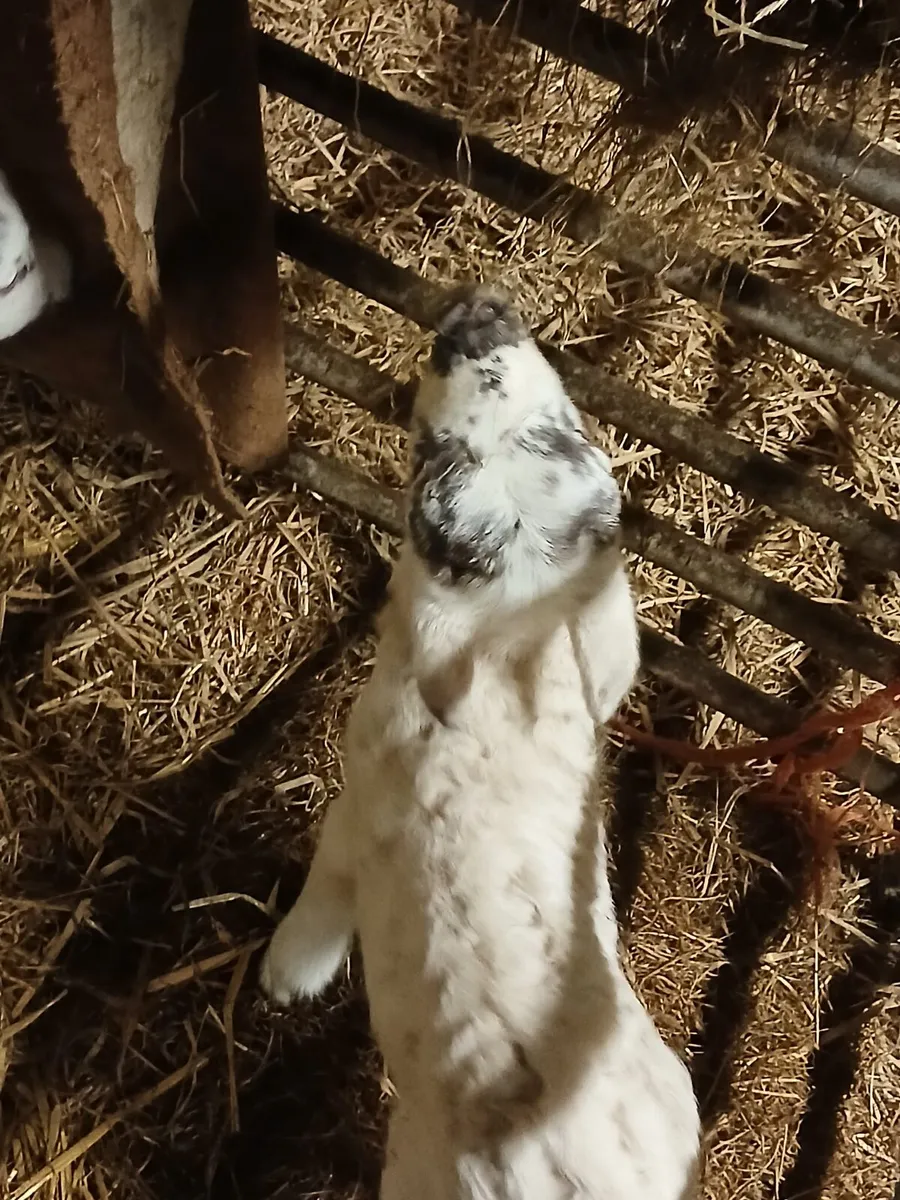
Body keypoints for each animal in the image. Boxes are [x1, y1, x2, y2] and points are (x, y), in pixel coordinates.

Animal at [260, 285, 701, 1200]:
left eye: (435, 457)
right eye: (564, 430)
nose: (477, 319)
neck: (521, 602)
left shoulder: (359, 793)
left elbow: (324, 890)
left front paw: (284, 979)